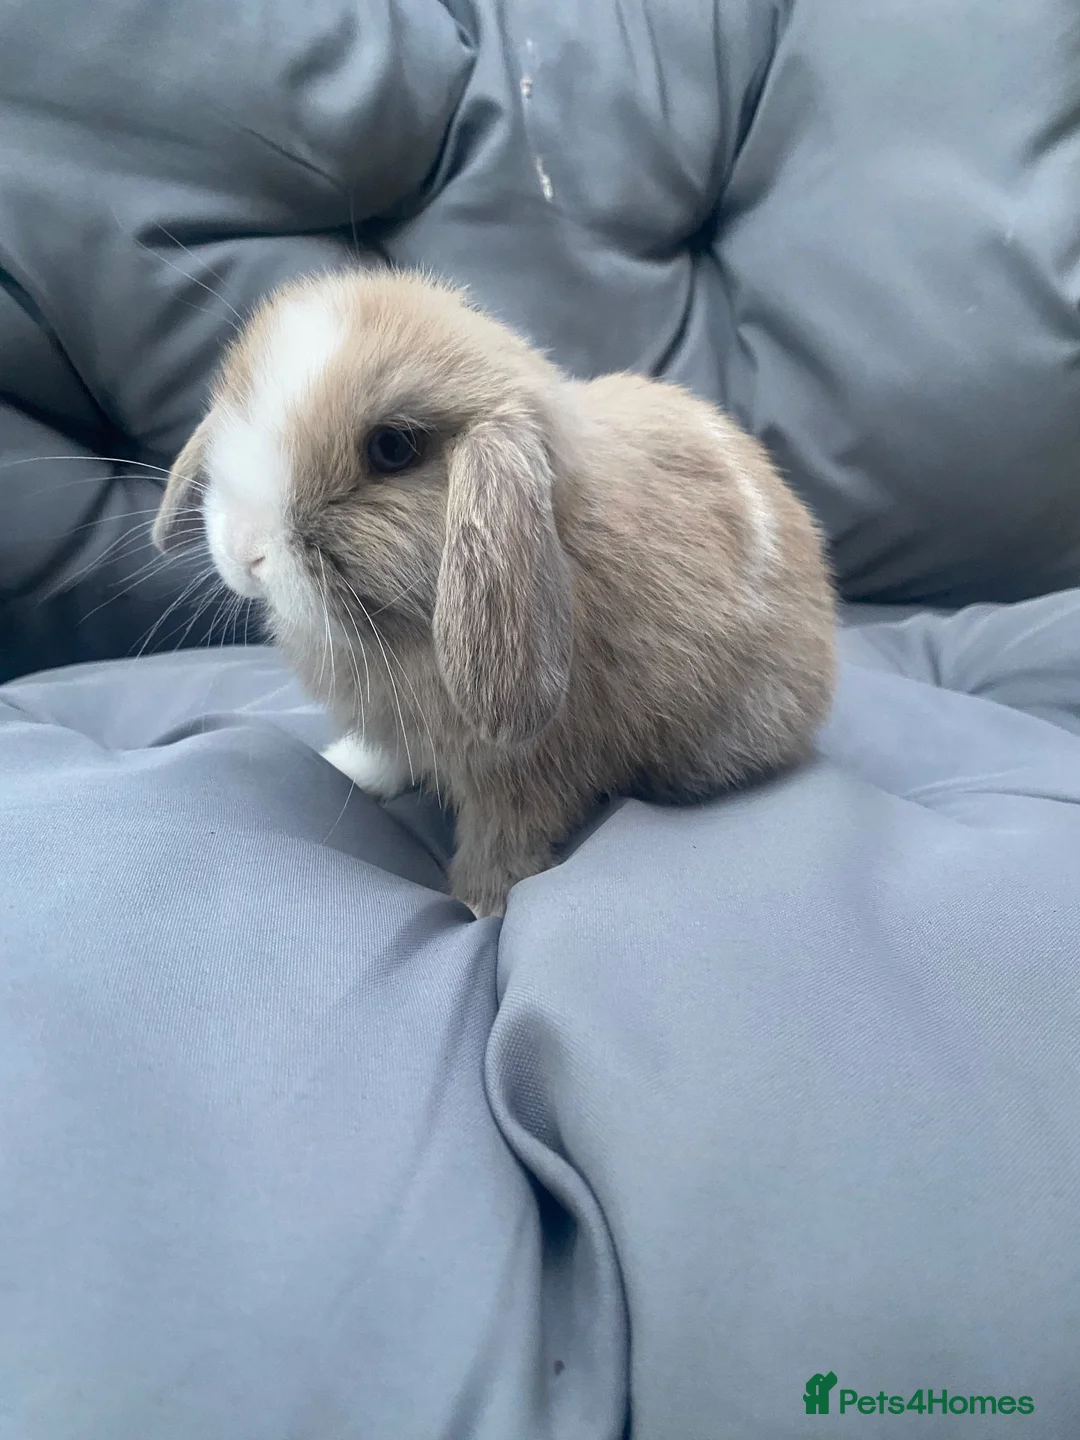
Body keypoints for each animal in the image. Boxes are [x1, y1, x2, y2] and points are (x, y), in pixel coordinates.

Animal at [152, 268, 836, 918]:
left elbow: (503, 838)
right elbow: (393, 757)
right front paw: (355, 769)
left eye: (393, 448)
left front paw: (477, 904)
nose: (246, 550)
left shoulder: (527, 771)